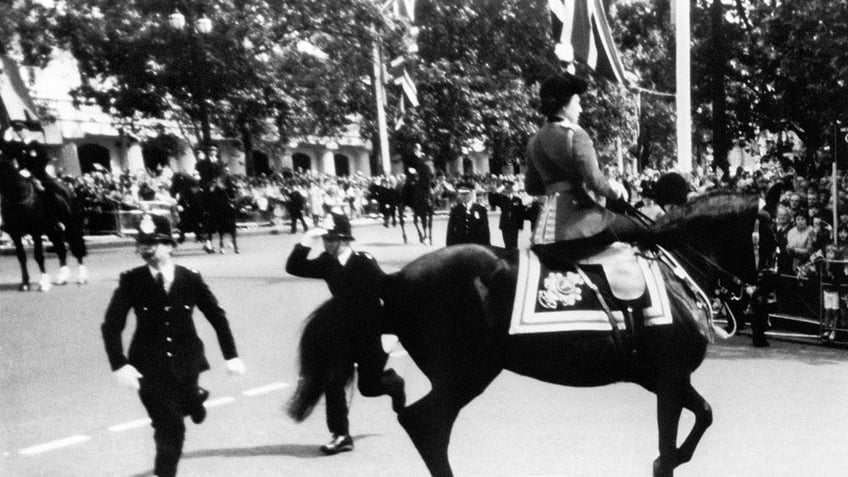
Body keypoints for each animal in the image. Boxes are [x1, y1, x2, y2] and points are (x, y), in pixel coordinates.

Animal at [0, 151, 87, 290]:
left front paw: (44, 283)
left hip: (70, 226)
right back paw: (62, 278)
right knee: (61, 250)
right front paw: (25, 283)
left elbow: (38, 256)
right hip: (52, 230)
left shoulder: (35, 232)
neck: (18, 195)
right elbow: (21, 257)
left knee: (77, 248)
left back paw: (81, 277)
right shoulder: (15, 234)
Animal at [292, 191, 776, 476]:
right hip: (468, 374)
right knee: (425, 424)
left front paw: (671, 456)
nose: (763, 287)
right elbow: (677, 432)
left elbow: (704, 414)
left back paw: (389, 384)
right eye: (768, 233)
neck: (677, 269)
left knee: (402, 405)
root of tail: (394, 280)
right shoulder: (670, 377)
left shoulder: (662, 379)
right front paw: (667, 458)